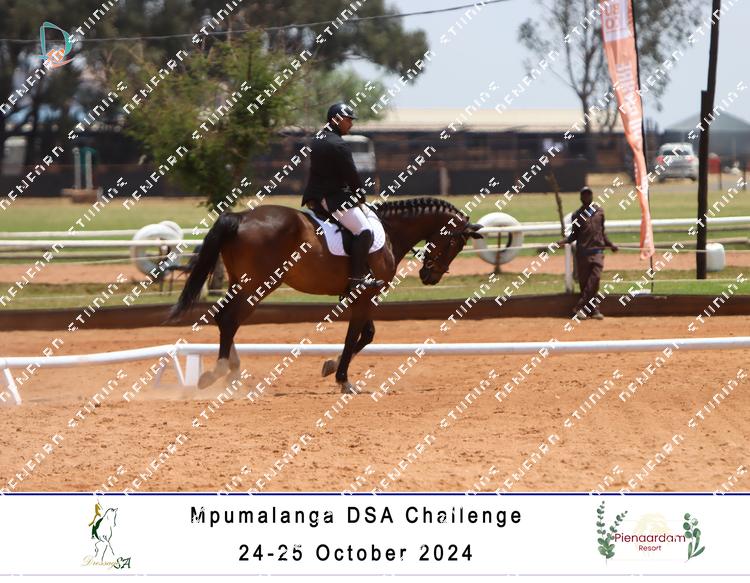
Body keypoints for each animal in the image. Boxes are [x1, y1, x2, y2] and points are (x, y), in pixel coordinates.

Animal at [169, 197, 483, 393]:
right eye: (455, 243)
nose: (431, 277)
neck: (390, 232)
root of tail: (241, 216)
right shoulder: (366, 294)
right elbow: (355, 335)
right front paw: (343, 379)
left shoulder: (360, 295)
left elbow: (367, 334)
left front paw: (330, 366)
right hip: (258, 285)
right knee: (229, 320)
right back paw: (220, 373)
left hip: (240, 282)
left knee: (224, 318)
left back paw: (230, 373)